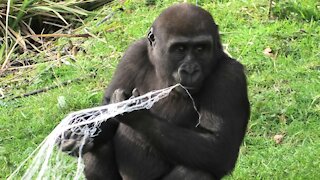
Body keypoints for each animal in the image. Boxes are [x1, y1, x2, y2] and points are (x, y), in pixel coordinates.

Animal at [59, 3, 250, 180]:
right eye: (180, 49)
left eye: (200, 48)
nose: (190, 70)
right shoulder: (133, 53)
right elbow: (107, 108)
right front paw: (78, 133)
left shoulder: (230, 77)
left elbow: (218, 147)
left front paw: (135, 113)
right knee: (97, 147)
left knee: (196, 172)